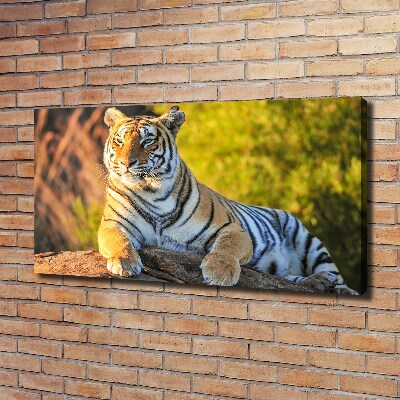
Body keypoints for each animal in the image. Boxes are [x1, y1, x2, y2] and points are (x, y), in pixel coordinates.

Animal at [99, 104, 360, 296]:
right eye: (119, 141)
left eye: (148, 141)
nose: (126, 163)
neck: (152, 193)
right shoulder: (112, 224)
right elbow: (117, 240)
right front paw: (124, 262)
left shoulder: (231, 228)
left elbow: (227, 247)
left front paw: (219, 273)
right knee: (290, 278)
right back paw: (318, 283)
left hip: (308, 241)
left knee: (334, 274)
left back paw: (339, 288)